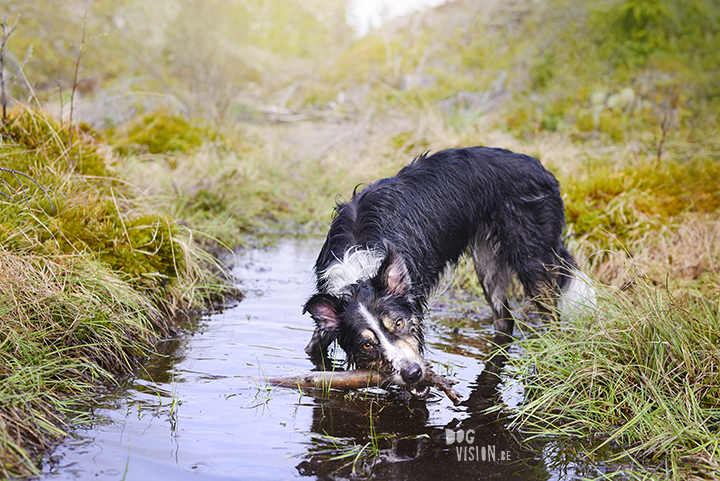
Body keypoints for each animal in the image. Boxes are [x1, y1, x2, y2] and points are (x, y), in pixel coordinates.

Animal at [302, 147, 592, 398]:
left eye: (399, 323)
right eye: (367, 345)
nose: (412, 373)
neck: (360, 269)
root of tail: (540, 167)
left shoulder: (415, 316)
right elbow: (313, 348)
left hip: (533, 257)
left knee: (551, 319)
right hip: (487, 261)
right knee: (505, 319)